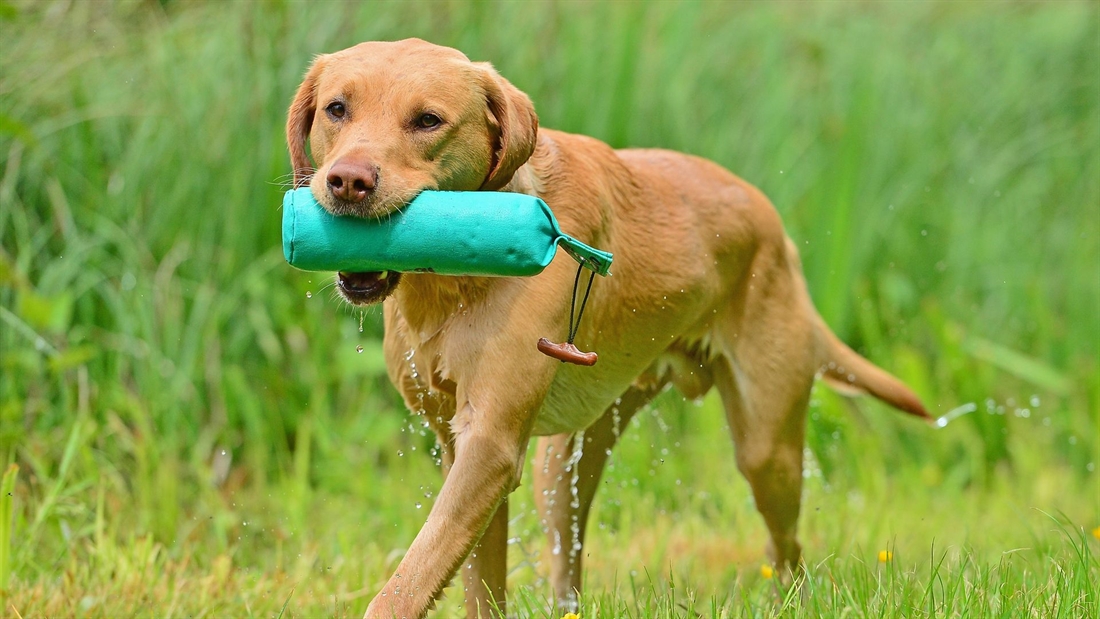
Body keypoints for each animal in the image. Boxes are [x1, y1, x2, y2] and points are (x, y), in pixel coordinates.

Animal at [286, 38, 928, 619]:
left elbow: (409, 579)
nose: (347, 181)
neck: (451, 284)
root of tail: (778, 230)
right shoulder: (460, 448)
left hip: (766, 448)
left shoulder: (489, 443)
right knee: (569, 558)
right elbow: (473, 581)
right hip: (564, 459)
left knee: (787, 549)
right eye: (336, 109)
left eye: (427, 120)